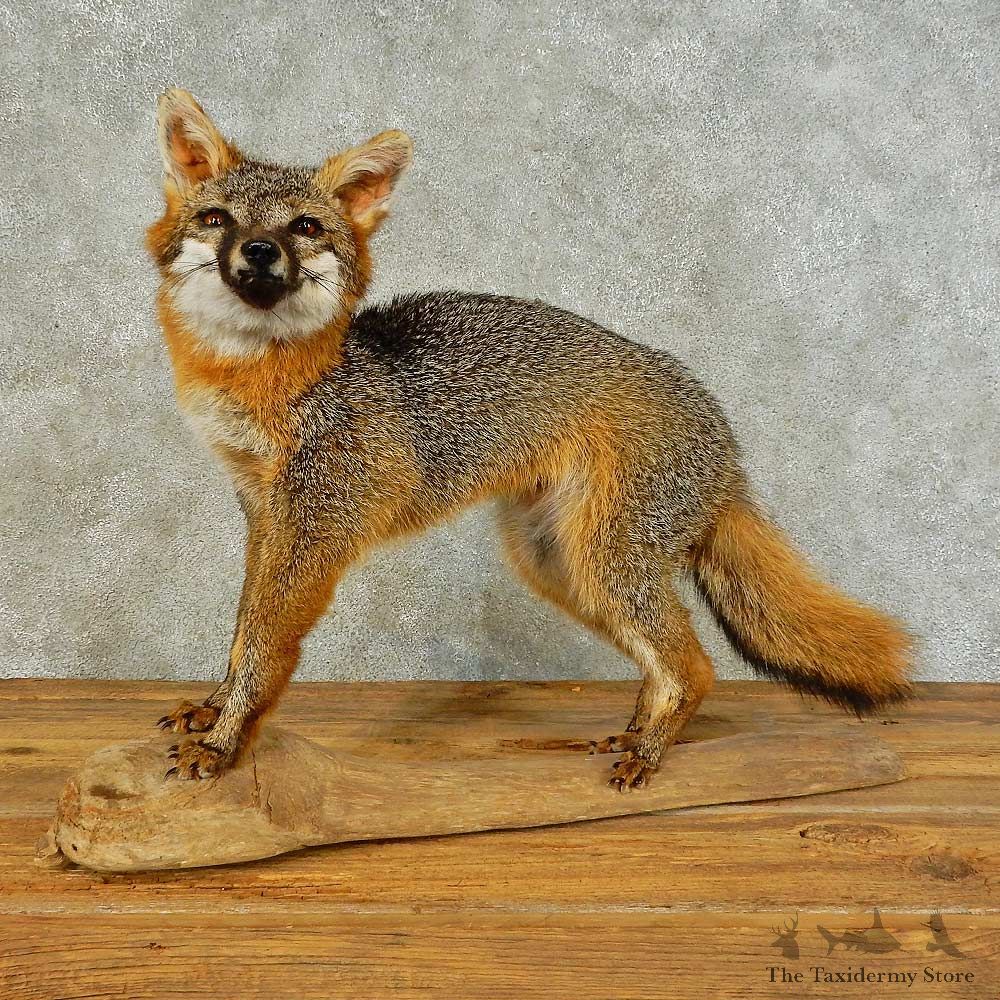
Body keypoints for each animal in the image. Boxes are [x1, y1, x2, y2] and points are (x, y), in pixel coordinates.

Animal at [146, 88, 913, 790]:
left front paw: (225, 742)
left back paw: (651, 750)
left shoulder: (314, 532)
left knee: (696, 666)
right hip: (559, 564)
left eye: (304, 227)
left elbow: (264, 645)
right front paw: (213, 708)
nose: (259, 251)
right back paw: (639, 727)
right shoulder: (263, 514)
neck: (274, 382)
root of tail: (722, 431)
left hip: (604, 566)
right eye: (217, 219)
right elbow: (241, 626)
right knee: (669, 659)